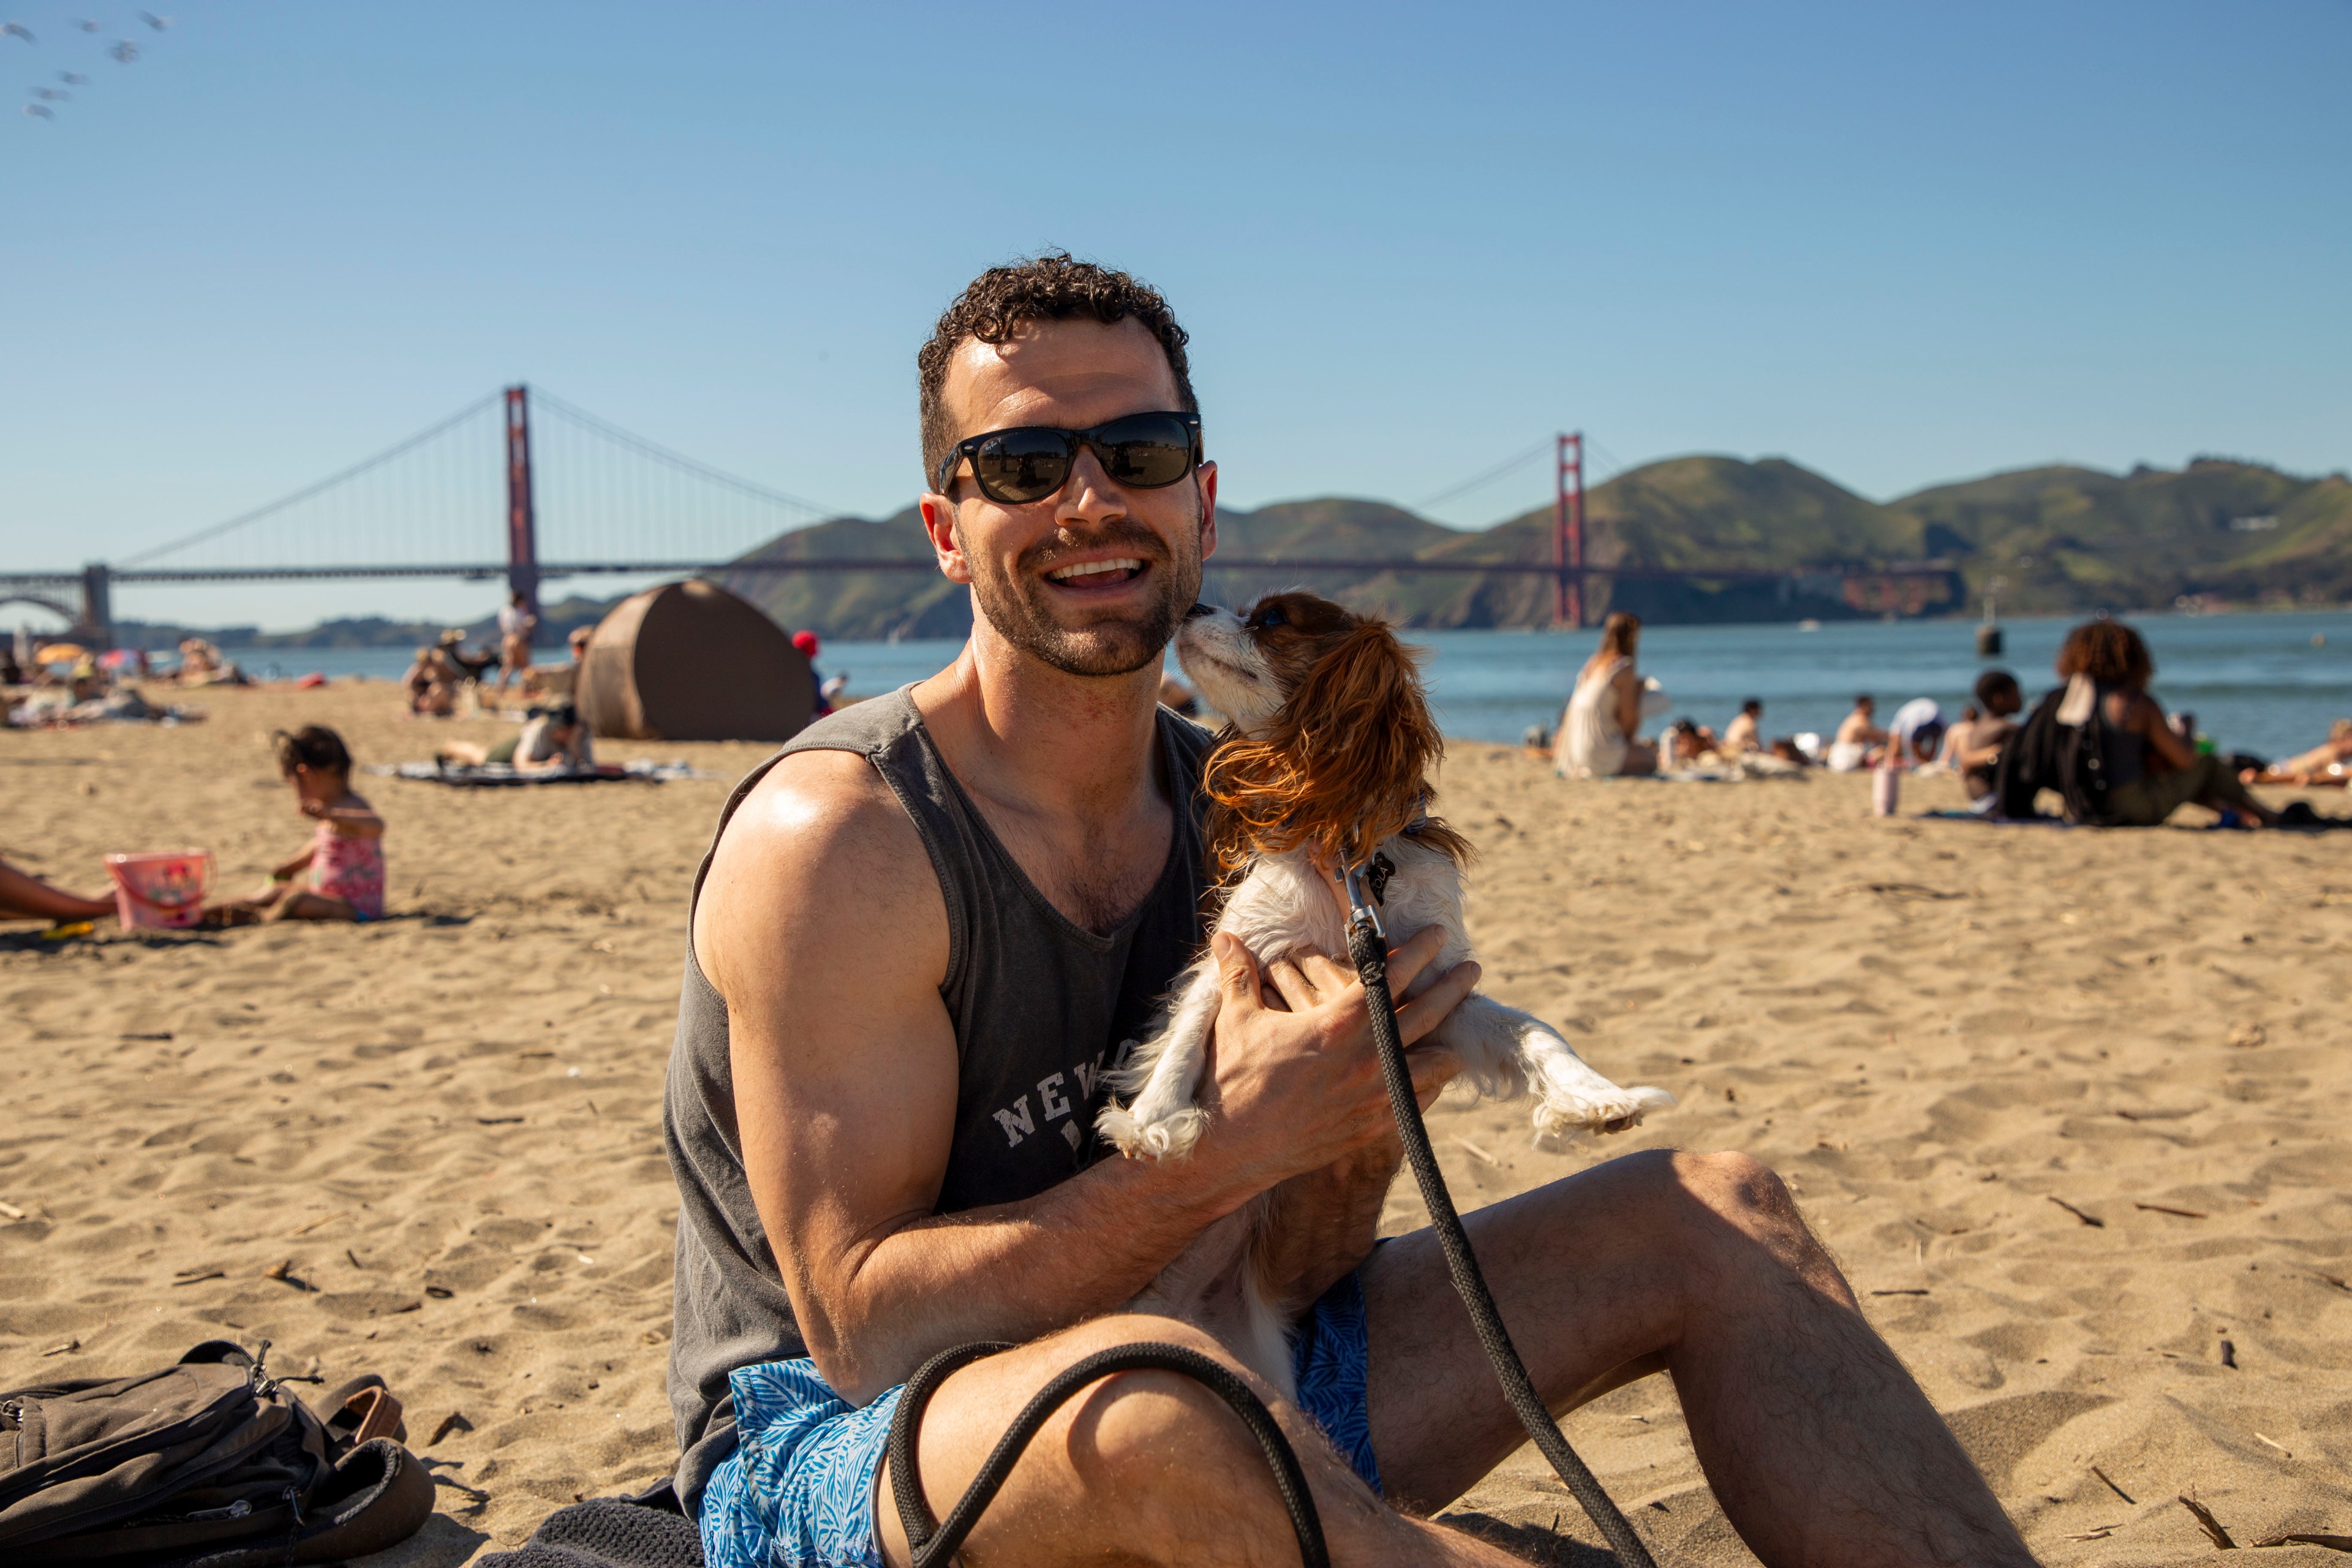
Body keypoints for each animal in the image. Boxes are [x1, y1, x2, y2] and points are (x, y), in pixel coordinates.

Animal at [1101, 595, 1675, 1392]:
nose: (1196, 602)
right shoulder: (1238, 952)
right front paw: (1155, 1118)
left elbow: (1534, 1030)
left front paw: (1596, 1098)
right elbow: (1187, 1034)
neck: (1345, 860)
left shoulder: (1431, 996)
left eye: (1272, 619)